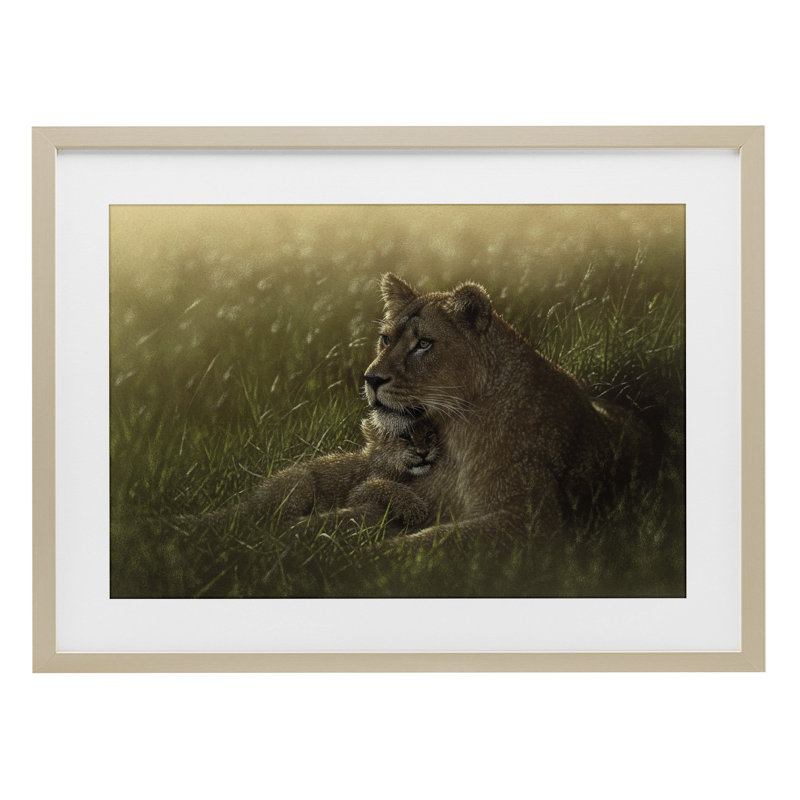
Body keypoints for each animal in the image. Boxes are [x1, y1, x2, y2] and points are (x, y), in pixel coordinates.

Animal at [361, 273, 654, 547]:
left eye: (423, 343)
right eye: (385, 339)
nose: (371, 379)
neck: (456, 435)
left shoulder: (531, 519)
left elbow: (431, 542)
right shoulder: (423, 494)